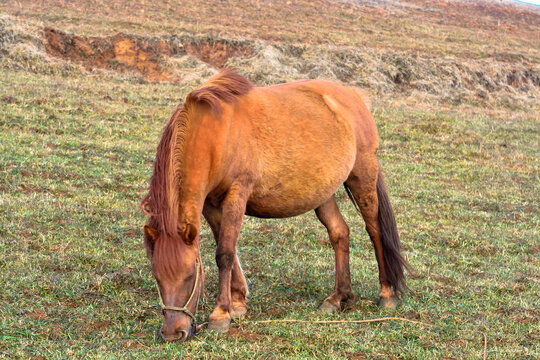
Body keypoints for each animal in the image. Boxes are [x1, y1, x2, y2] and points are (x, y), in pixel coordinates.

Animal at [141, 69, 408, 342]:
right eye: (157, 277)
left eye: (189, 275)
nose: (173, 333)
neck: (216, 135)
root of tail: (354, 97)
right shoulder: (209, 204)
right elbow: (224, 247)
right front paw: (237, 302)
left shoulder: (236, 195)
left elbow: (224, 254)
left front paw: (221, 314)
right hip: (323, 193)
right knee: (339, 233)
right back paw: (338, 297)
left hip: (362, 176)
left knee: (374, 230)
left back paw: (387, 294)